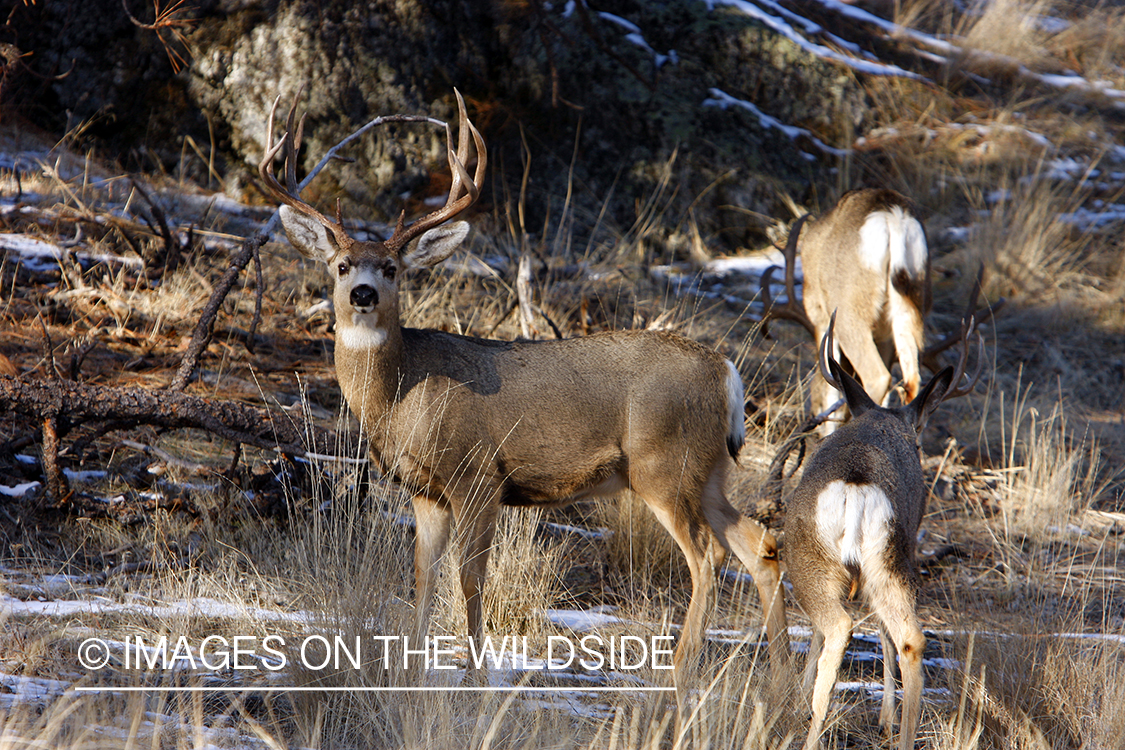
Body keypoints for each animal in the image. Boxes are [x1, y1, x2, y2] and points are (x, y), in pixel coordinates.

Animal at [257, 89, 789, 694]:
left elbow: (470, 580)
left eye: (392, 268)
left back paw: (678, 672)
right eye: (342, 264)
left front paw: (475, 674)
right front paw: (412, 670)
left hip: (664, 463)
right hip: (709, 468)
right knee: (759, 545)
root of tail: (725, 371)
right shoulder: (425, 492)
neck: (402, 395)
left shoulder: (477, 475)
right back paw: (784, 684)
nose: (363, 293)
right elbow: (422, 578)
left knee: (707, 557)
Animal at [760, 189, 931, 435]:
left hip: (850, 311)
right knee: (912, 382)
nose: (814, 425)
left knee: (877, 376)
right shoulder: (884, 336)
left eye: (814, 400)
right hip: (910, 304)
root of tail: (892, 216)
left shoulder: (820, 316)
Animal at [784, 311, 982, 750]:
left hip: (821, 559)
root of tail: (856, 484)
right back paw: (902, 734)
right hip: (890, 559)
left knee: (839, 626)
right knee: (910, 639)